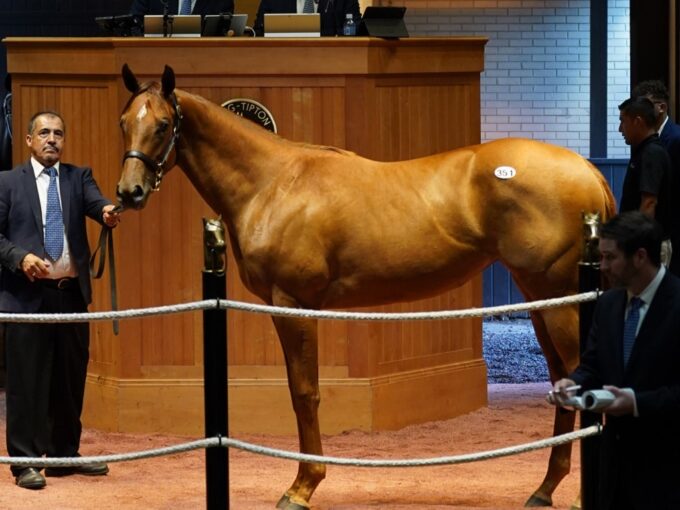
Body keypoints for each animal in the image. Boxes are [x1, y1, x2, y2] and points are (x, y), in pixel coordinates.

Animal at [117, 65, 616, 508]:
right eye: (124, 123)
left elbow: (305, 393)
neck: (273, 184)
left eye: (162, 125)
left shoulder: (292, 304)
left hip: (559, 304)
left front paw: (302, 487)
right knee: (562, 378)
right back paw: (545, 489)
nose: (128, 192)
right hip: (543, 301)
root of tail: (588, 171)